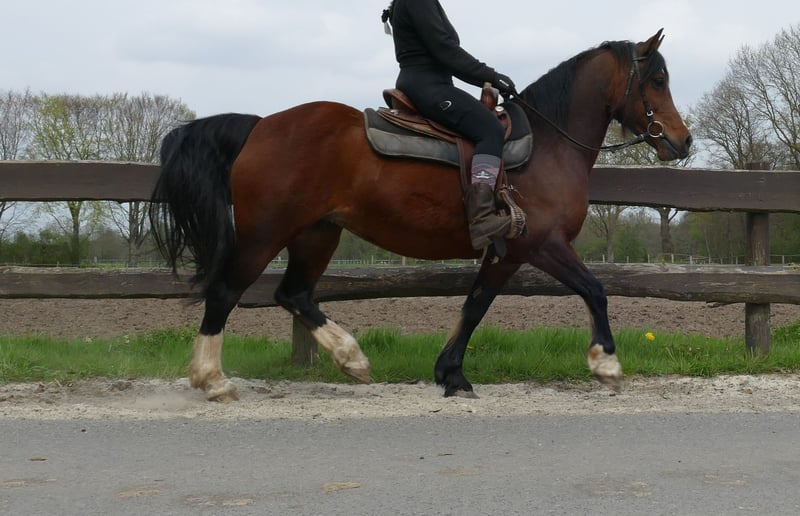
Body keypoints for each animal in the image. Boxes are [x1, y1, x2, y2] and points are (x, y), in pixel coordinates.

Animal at [150, 30, 691, 402]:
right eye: (658, 79)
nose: (682, 141)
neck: (547, 144)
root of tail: (260, 125)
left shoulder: (507, 253)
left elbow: (474, 306)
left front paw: (451, 374)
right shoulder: (541, 244)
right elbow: (595, 290)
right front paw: (606, 364)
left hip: (316, 234)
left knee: (293, 293)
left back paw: (351, 358)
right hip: (265, 234)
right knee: (226, 293)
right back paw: (213, 380)